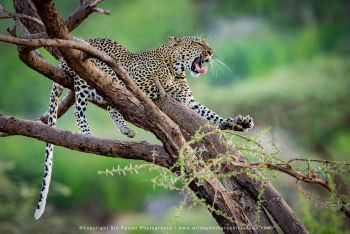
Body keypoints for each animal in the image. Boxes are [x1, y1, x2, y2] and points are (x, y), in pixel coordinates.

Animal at [34, 35, 254, 219]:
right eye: (198, 43)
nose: (211, 51)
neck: (176, 68)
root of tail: (62, 59)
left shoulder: (190, 102)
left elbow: (211, 116)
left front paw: (237, 122)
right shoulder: (138, 81)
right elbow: (158, 87)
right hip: (84, 77)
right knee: (85, 108)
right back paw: (91, 133)